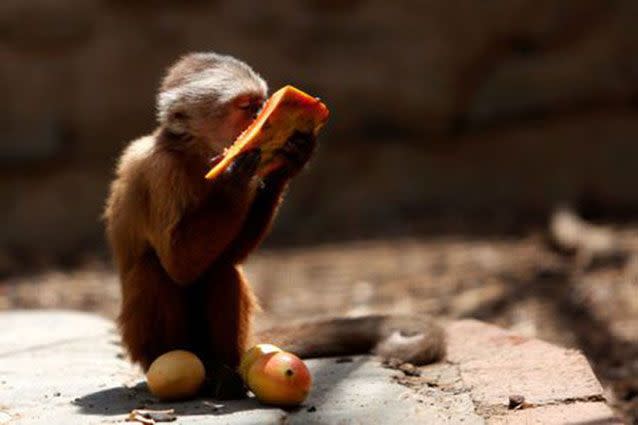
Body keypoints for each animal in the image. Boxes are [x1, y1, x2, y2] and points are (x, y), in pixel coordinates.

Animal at [104, 52, 444, 398]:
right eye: (246, 107)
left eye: (261, 103)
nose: (260, 114)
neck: (195, 154)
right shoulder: (161, 172)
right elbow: (179, 265)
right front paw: (236, 178)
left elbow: (228, 257)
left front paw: (287, 163)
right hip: (143, 347)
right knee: (155, 269)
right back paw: (193, 366)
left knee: (221, 269)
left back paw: (225, 371)